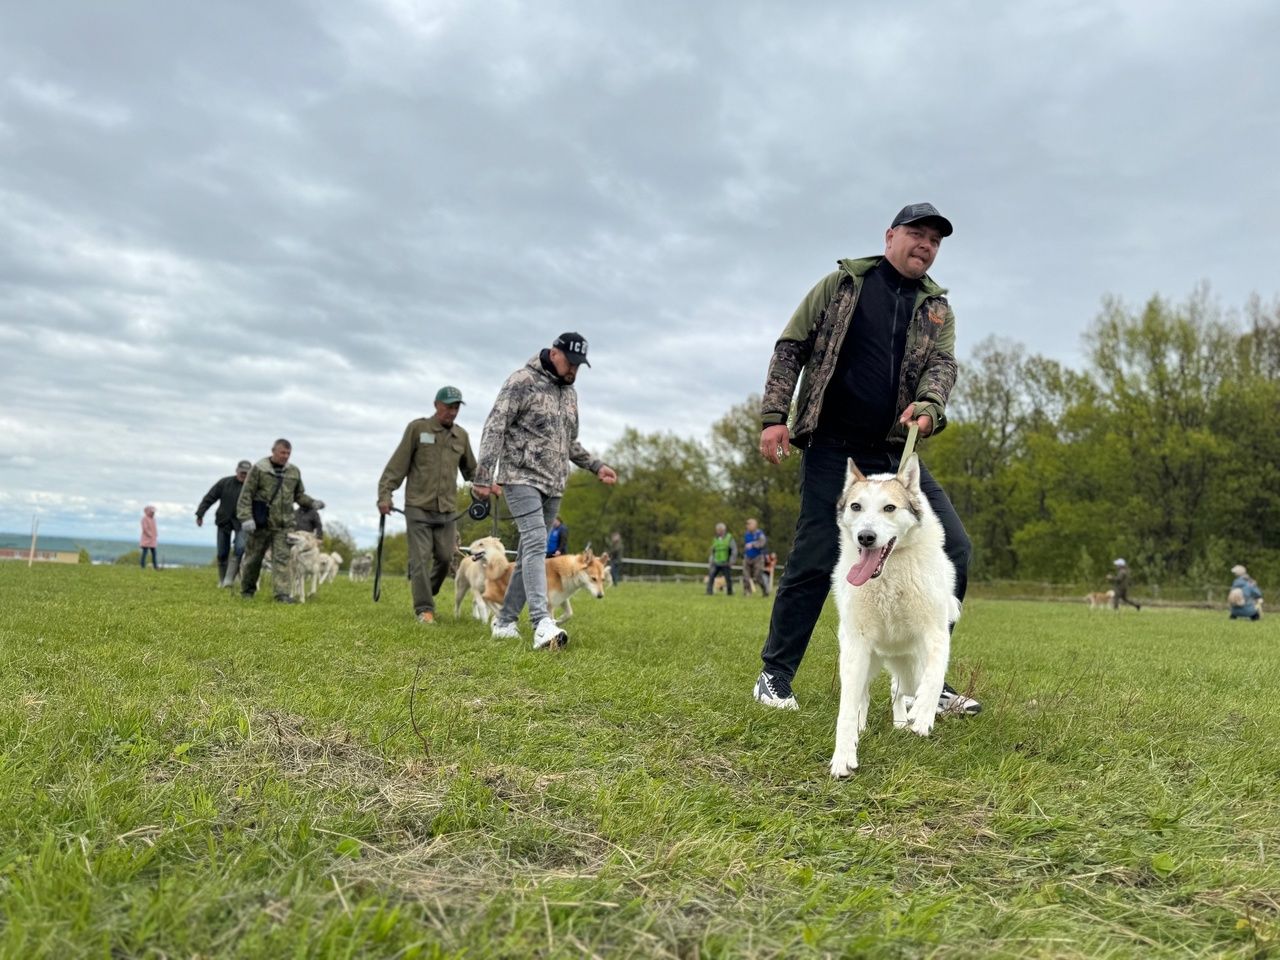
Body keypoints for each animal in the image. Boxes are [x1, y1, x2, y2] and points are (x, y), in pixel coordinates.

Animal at [824, 453, 957, 783]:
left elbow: (934, 678)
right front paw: (843, 756)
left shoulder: (936, 633)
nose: (866, 537)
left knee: (900, 691)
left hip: (908, 666)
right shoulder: (856, 645)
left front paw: (921, 715)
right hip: (869, 660)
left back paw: (902, 721)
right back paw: (863, 727)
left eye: (889, 508)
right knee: (866, 695)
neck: (889, 574)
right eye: (856, 507)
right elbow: (847, 709)